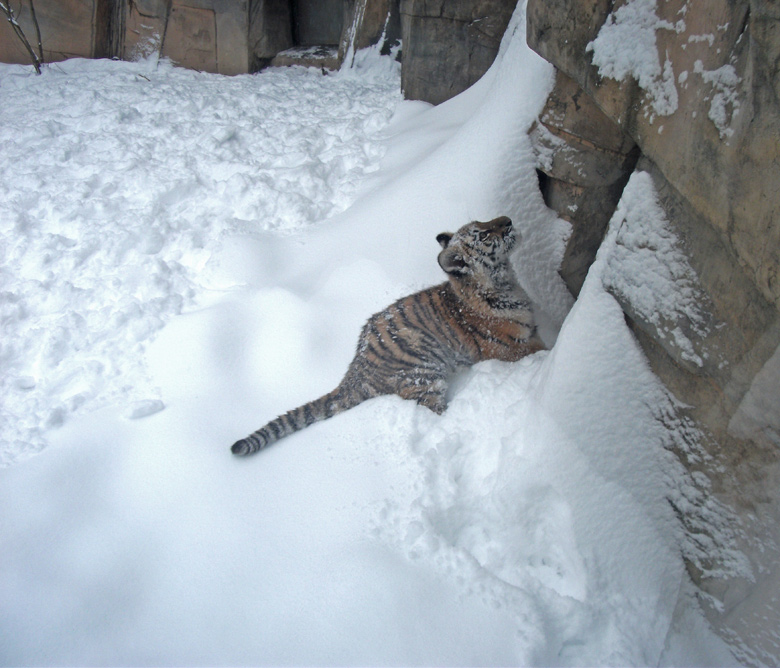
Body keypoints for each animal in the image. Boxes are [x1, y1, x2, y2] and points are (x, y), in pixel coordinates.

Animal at [230, 217, 544, 456]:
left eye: (483, 221)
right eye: (484, 234)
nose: (508, 220)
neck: (504, 284)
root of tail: (356, 367)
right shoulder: (513, 348)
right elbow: (541, 352)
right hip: (426, 377)